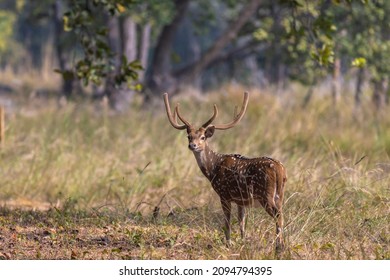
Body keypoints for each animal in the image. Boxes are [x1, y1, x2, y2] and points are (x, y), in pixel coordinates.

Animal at [161, 92, 286, 252]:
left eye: (203, 137)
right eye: (189, 136)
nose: (192, 145)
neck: (213, 169)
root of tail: (279, 169)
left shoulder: (224, 194)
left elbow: (227, 222)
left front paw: (228, 243)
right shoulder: (241, 199)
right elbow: (241, 222)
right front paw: (243, 242)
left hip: (266, 194)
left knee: (278, 216)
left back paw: (279, 246)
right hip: (279, 195)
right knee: (281, 214)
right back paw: (281, 244)